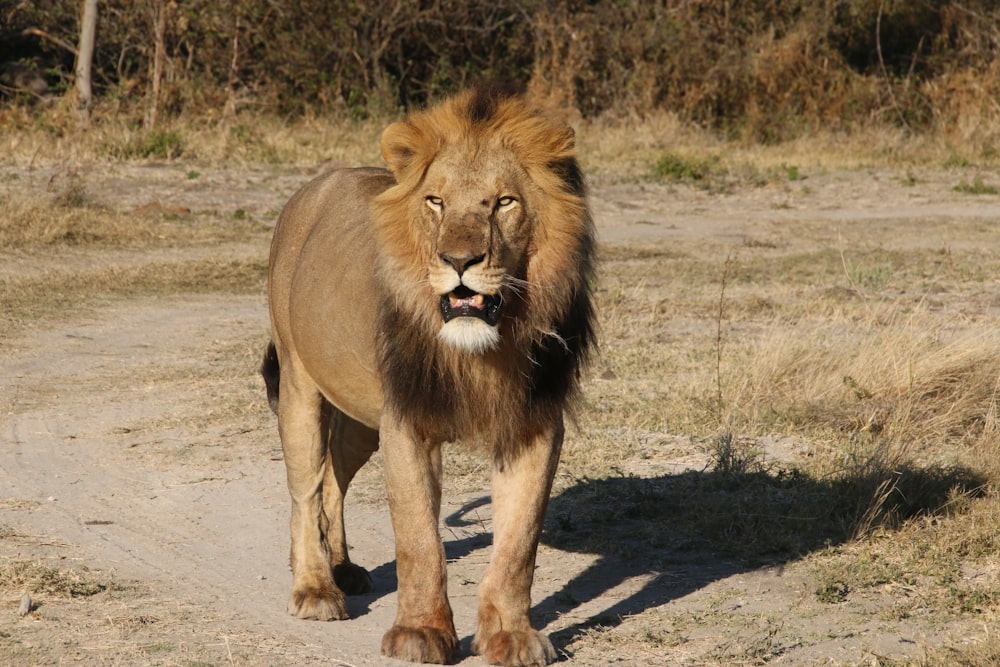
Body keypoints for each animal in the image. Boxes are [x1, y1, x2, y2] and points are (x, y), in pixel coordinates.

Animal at [262, 86, 596, 664]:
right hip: (301, 385)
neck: (481, 351)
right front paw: (420, 633)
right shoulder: (406, 424)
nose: (459, 260)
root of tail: (314, 186)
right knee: (304, 490)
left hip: (360, 419)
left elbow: (518, 544)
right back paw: (315, 588)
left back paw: (344, 569)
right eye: (435, 201)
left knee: (332, 480)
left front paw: (512, 636)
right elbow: (418, 538)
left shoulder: (534, 426)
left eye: (503, 202)